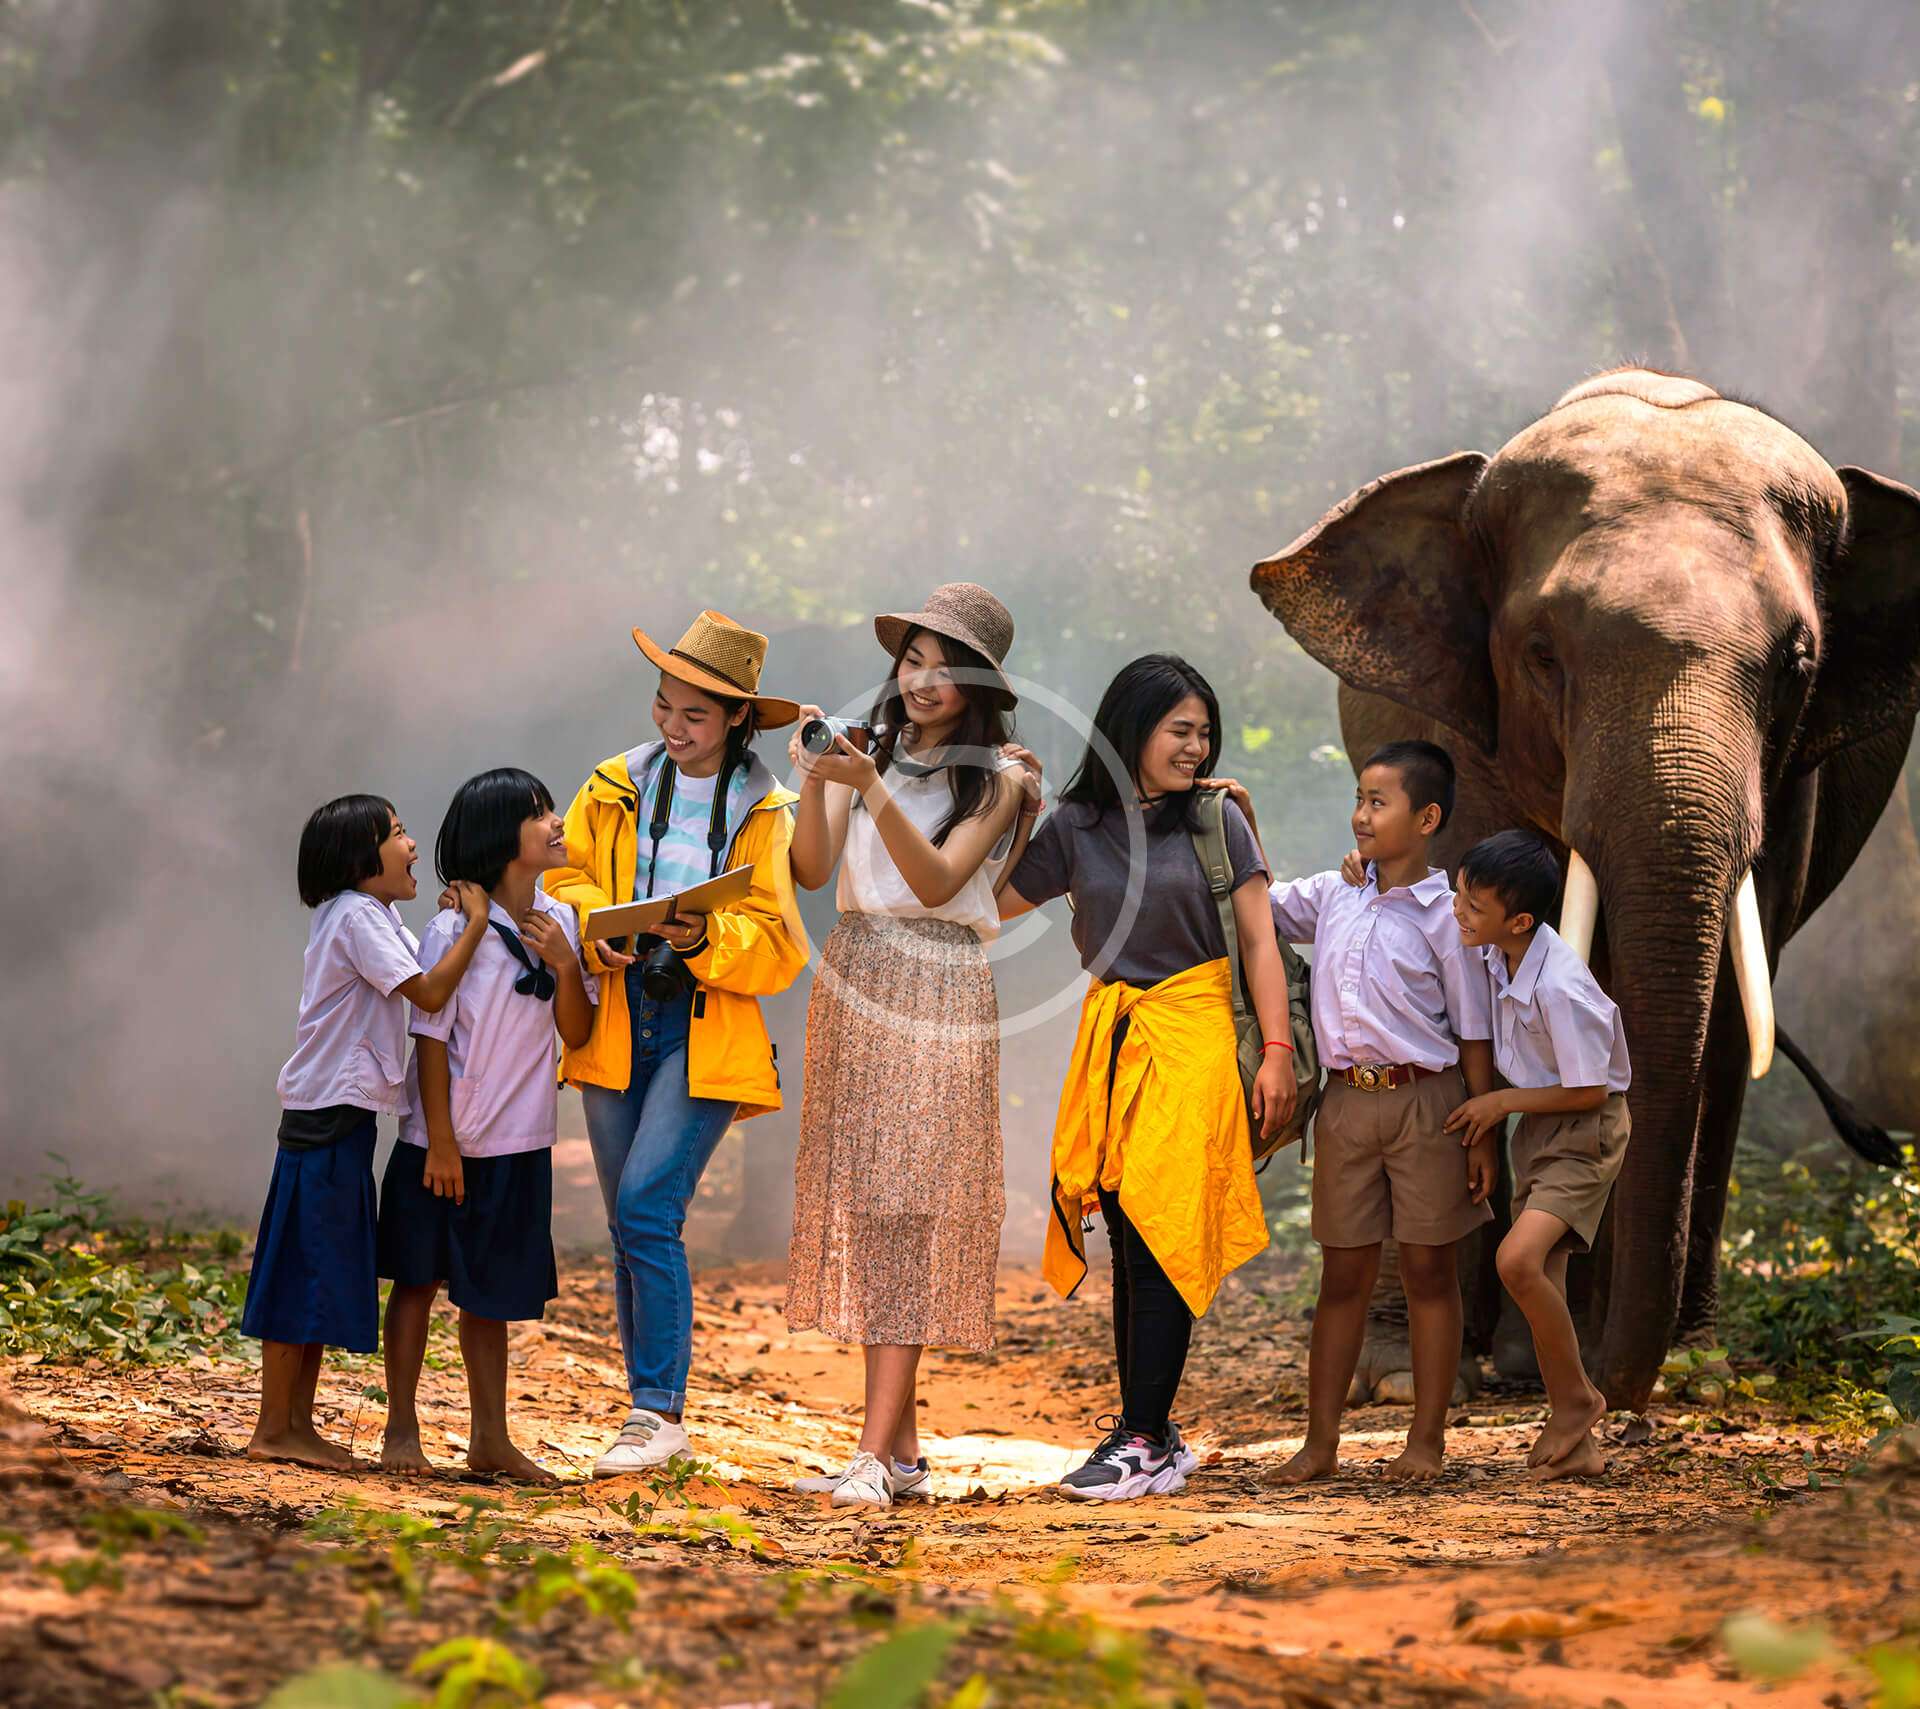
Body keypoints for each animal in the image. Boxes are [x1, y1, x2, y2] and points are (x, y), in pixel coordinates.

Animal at [1250, 367, 1920, 1411]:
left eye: (1797, 664)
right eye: (1541, 653)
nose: (1616, 1384)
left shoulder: (1790, 791)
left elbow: (1724, 1021)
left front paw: (1690, 1371)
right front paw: (1406, 1378)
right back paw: (1461, 1363)